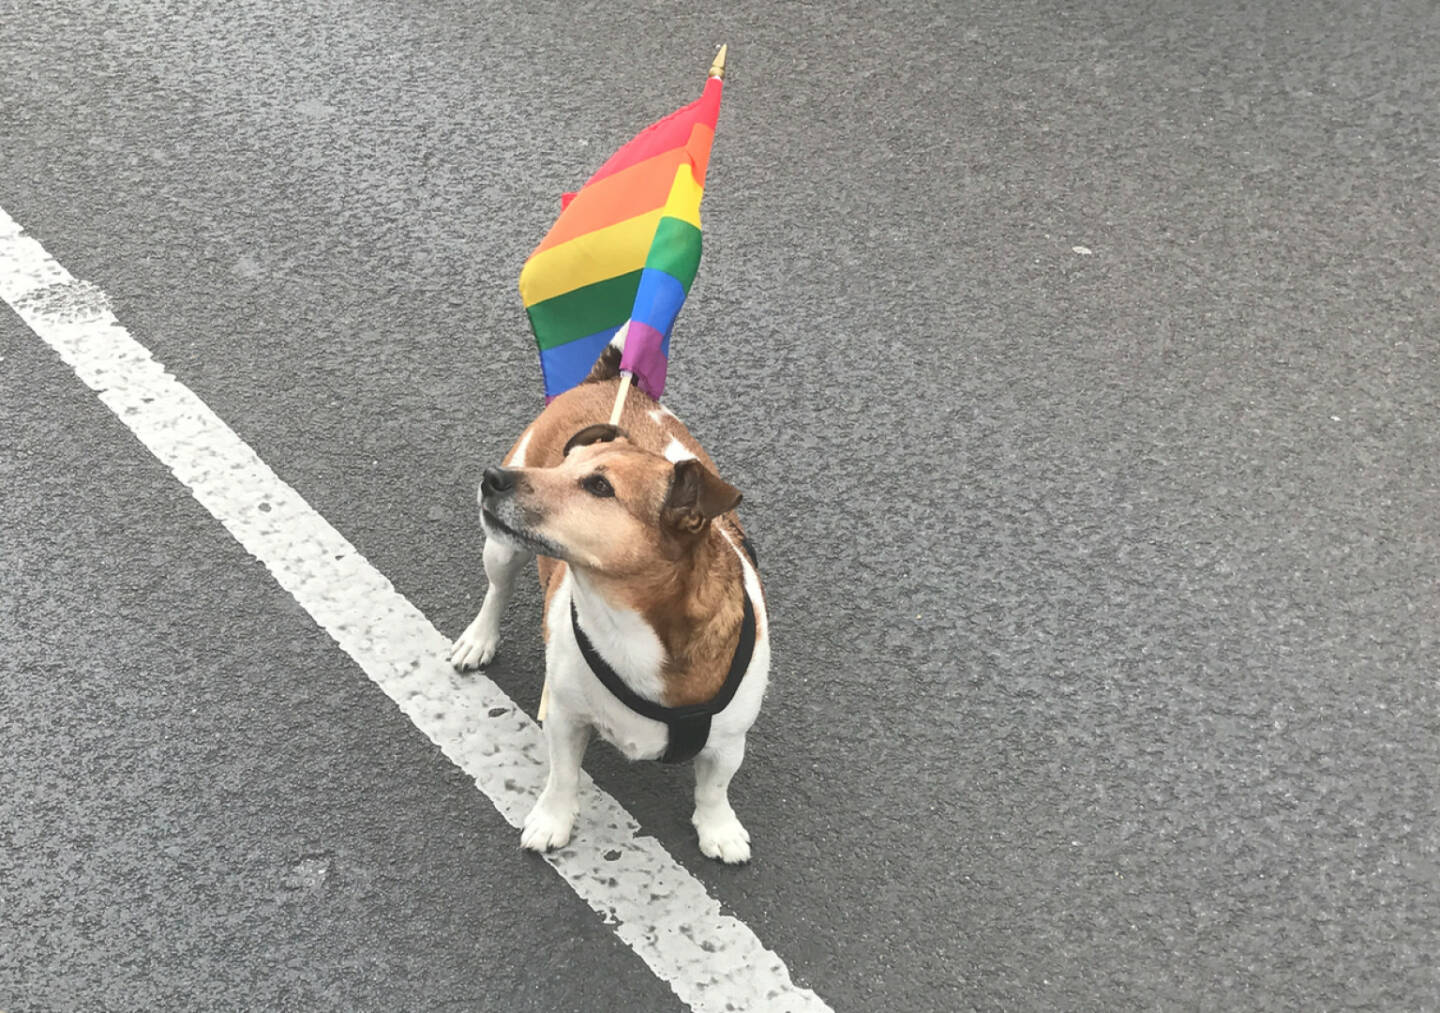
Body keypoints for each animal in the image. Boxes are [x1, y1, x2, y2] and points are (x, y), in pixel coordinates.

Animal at [446, 347, 766, 864]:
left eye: (599, 487)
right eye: (562, 465)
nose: (491, 477)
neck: (623, 616)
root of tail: (612, 377)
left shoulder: (727, 743)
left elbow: (714, 789)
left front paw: (719, 828)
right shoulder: (565, 718)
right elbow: (562, 776)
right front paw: (552, 821)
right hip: (502, 550)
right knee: (497, 590)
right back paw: (479, 639)